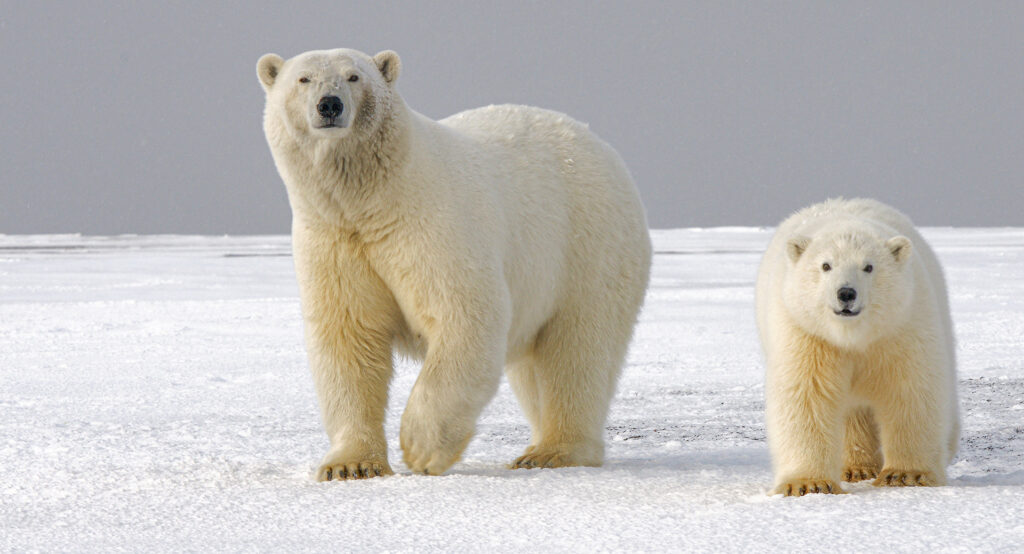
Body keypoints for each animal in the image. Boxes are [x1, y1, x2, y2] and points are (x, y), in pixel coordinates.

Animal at [256, 48, 652, 480]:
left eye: (354, 76)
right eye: (304, 79)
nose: (330, 104)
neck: (373, 200)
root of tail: (600, 144)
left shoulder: (431, 224)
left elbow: (464, 314)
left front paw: (420, 447)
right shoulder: (333, 240)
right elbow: (349, 338)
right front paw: (350, 465)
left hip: (587, 246)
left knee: (577, 350)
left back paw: (553, 451)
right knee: (535, 367)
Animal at [755, 198, 959, 496]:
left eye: (869, 267)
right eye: (825, 265)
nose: (846, 293)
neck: (853, 336)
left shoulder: (901, 326)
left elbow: (911, 389)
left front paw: (905, 474)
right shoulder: (807, 333)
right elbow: (806, 395)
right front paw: (808, 483)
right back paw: (856, 468)